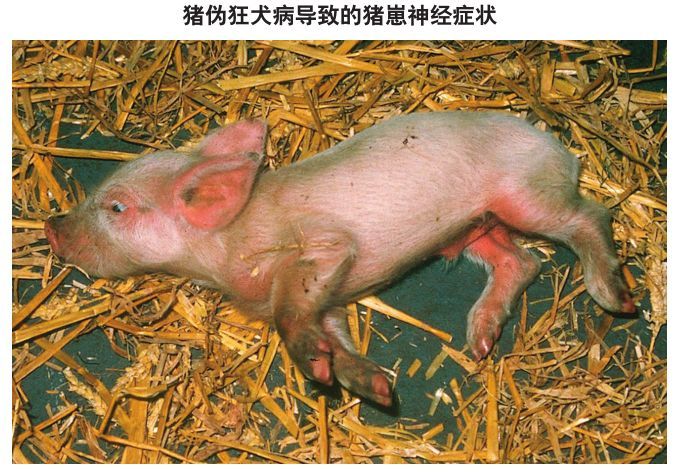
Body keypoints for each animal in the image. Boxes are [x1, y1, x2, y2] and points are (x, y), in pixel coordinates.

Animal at [44, 112, 635, 407]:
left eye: (116, 207)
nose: (52, 227)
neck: (229, 249)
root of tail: (563, 150)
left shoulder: (323, 250)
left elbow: (290, 312)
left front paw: (321, 372)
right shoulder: (329, 299)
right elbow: (332, 332)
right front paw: (374, 387)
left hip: (524, 196)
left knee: (591, 215)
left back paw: (617, 298)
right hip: (476, 229)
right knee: (523, 262)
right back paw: (480, 344)